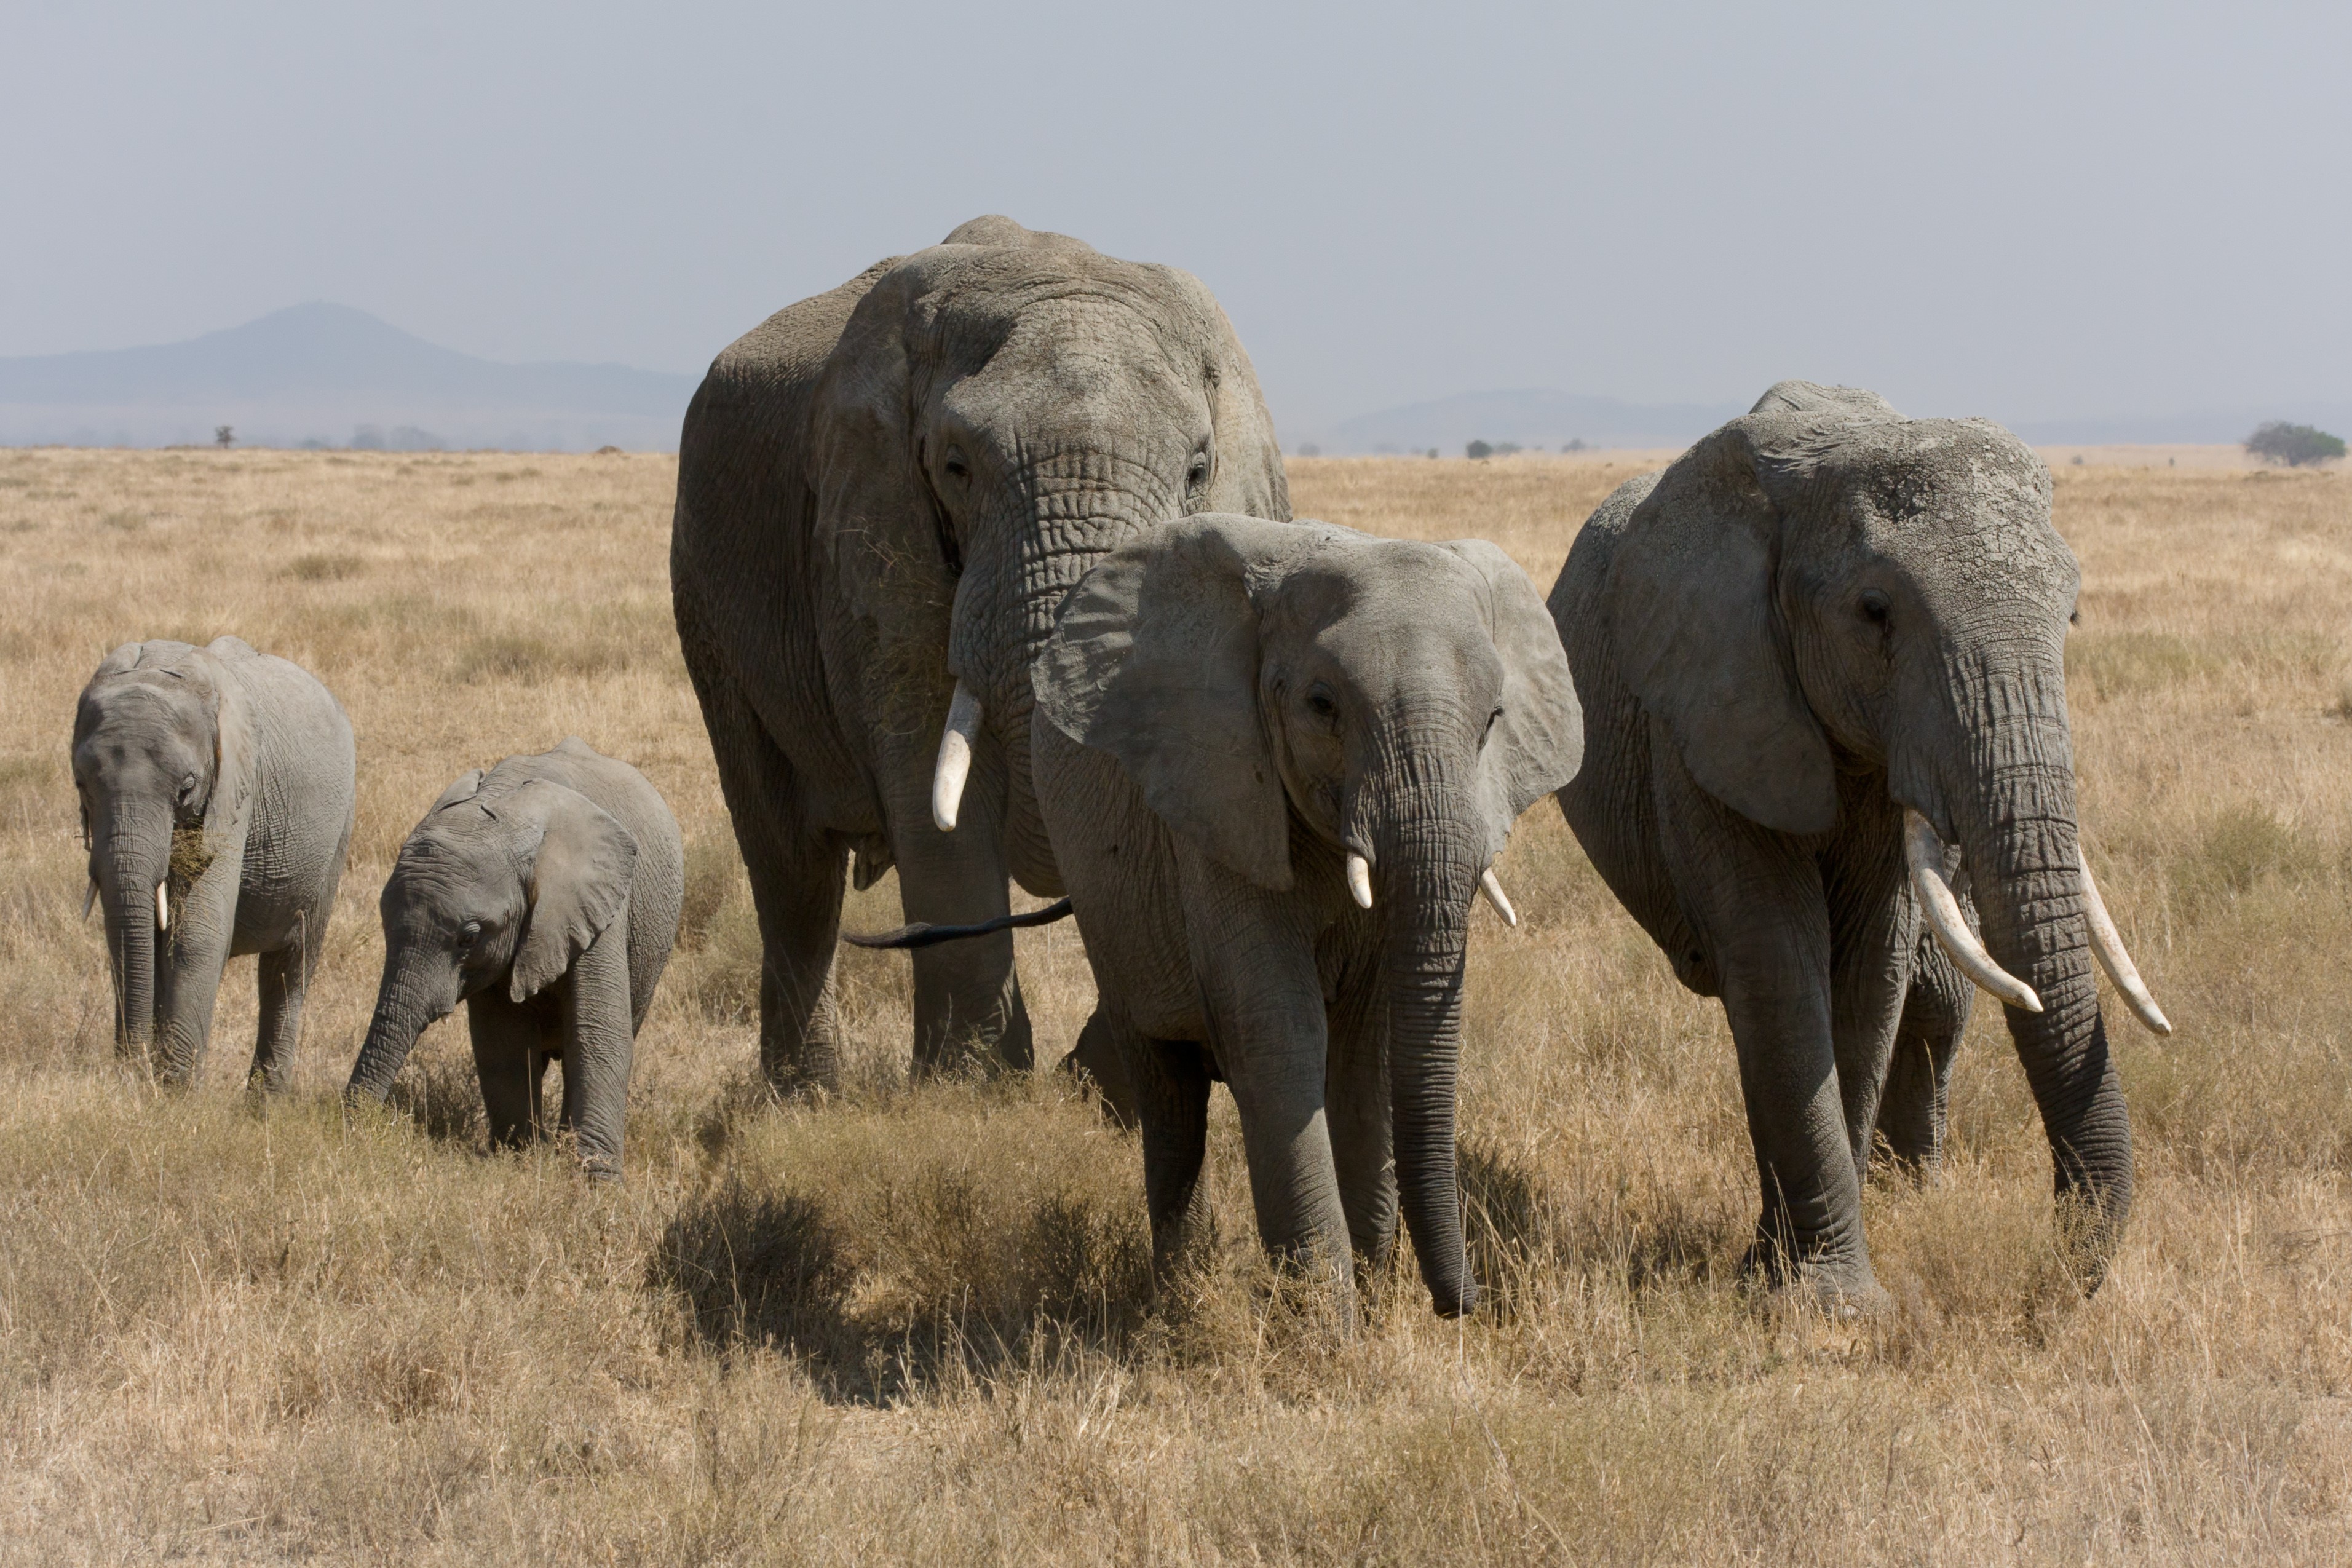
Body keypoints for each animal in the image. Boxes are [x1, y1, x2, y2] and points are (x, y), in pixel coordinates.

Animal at [71, 637, 356, 1090]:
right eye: (81, 784)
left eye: (187, 788)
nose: (131, 1066)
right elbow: (136, 933)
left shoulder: (237, 786)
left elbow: (198, 934)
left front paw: (175, 1090)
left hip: (338, 834)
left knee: (289, 970)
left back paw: (265, 1103)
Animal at [343, 738, 684, 1178]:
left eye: (469, 938)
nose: (353, 1126)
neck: (504, 808)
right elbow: (502, 1040)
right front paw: (520, 1160)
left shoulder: (598, 906)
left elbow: (598, 1032)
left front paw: (596, 1183)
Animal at [670, 215, 1287, 1095]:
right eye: (956, 467)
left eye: (1199, 469)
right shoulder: (872, 532)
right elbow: (929, 774)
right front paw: (975, 1087)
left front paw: (1103, 1082)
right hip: (708, 601)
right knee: (791, 865)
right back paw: (806, 1095)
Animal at [1023, 513, 1583, 1322]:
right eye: (1323, 705)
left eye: (1493, 721)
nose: (1469, 1304)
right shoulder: (1218, 794)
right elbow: (1280, 1030)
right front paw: (1328, 1322)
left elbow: (1364, 1046)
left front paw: (1373, 1296)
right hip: (1103, 894)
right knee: (1169, 1094)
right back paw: (1180, 1296)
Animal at [1548, 381, 2171, 1305]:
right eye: (1873, 613)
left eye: (2072, 613)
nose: (2056, 1275)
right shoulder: (1709, 709)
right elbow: (1779, 960)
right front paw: (1822, 1301)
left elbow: (1869, 967)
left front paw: (1799, 1282)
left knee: (1938, 992)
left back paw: (1906, 1188)